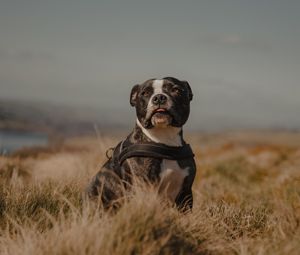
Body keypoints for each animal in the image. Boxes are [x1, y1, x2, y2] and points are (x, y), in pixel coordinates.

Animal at [85, 77, 196, 211]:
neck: (164, 141)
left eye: (176, 90)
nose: (159, 97)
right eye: (145, 93)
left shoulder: (186, 193)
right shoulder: (143, 189)